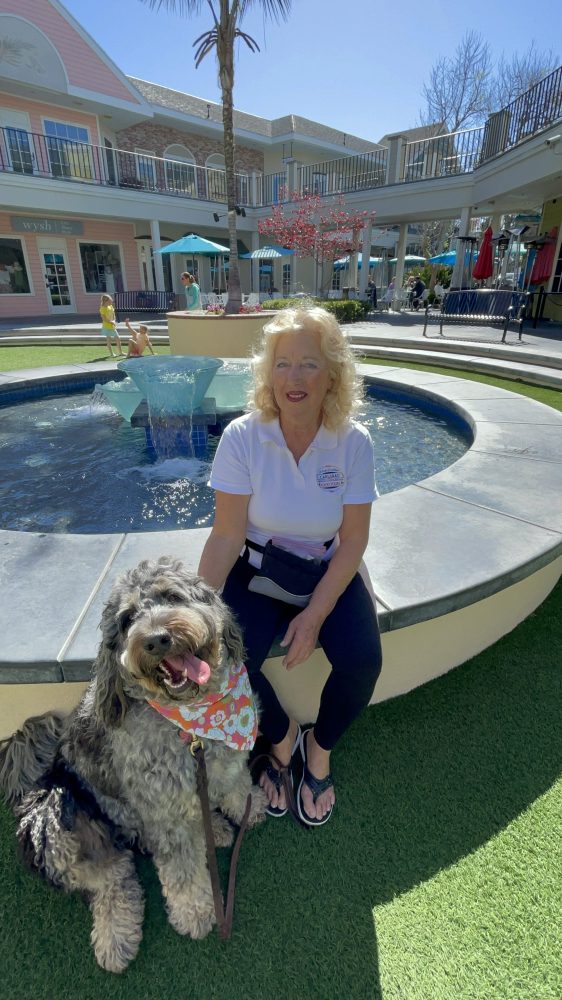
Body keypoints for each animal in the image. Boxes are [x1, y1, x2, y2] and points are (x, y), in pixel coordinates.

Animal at [0, 556, 266, 968]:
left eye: (171, 596)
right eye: (126, 619)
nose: (155, 639)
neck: (190, 724)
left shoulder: (224, 761)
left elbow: (236, 784)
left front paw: (249, 806)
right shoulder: (163, 809)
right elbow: (182, 872)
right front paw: (195, 913)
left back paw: (215, 830)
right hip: (57, 824)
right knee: (113, 876)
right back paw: (116, 941)